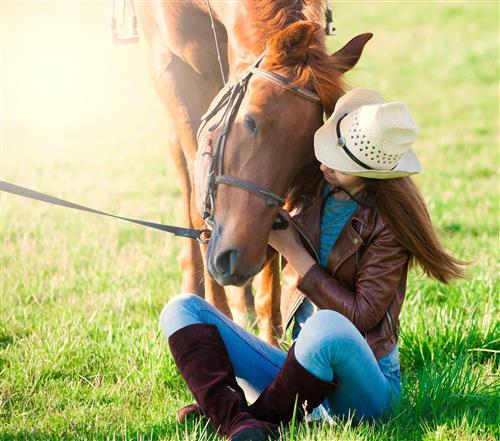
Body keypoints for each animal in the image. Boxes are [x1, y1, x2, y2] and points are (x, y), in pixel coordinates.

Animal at [136, 0, 371, 344]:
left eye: (308, 151)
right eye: (250, 121)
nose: (239, 257)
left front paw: (268, 331)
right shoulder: (169, 67)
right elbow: (197, 200)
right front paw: (212, 314)